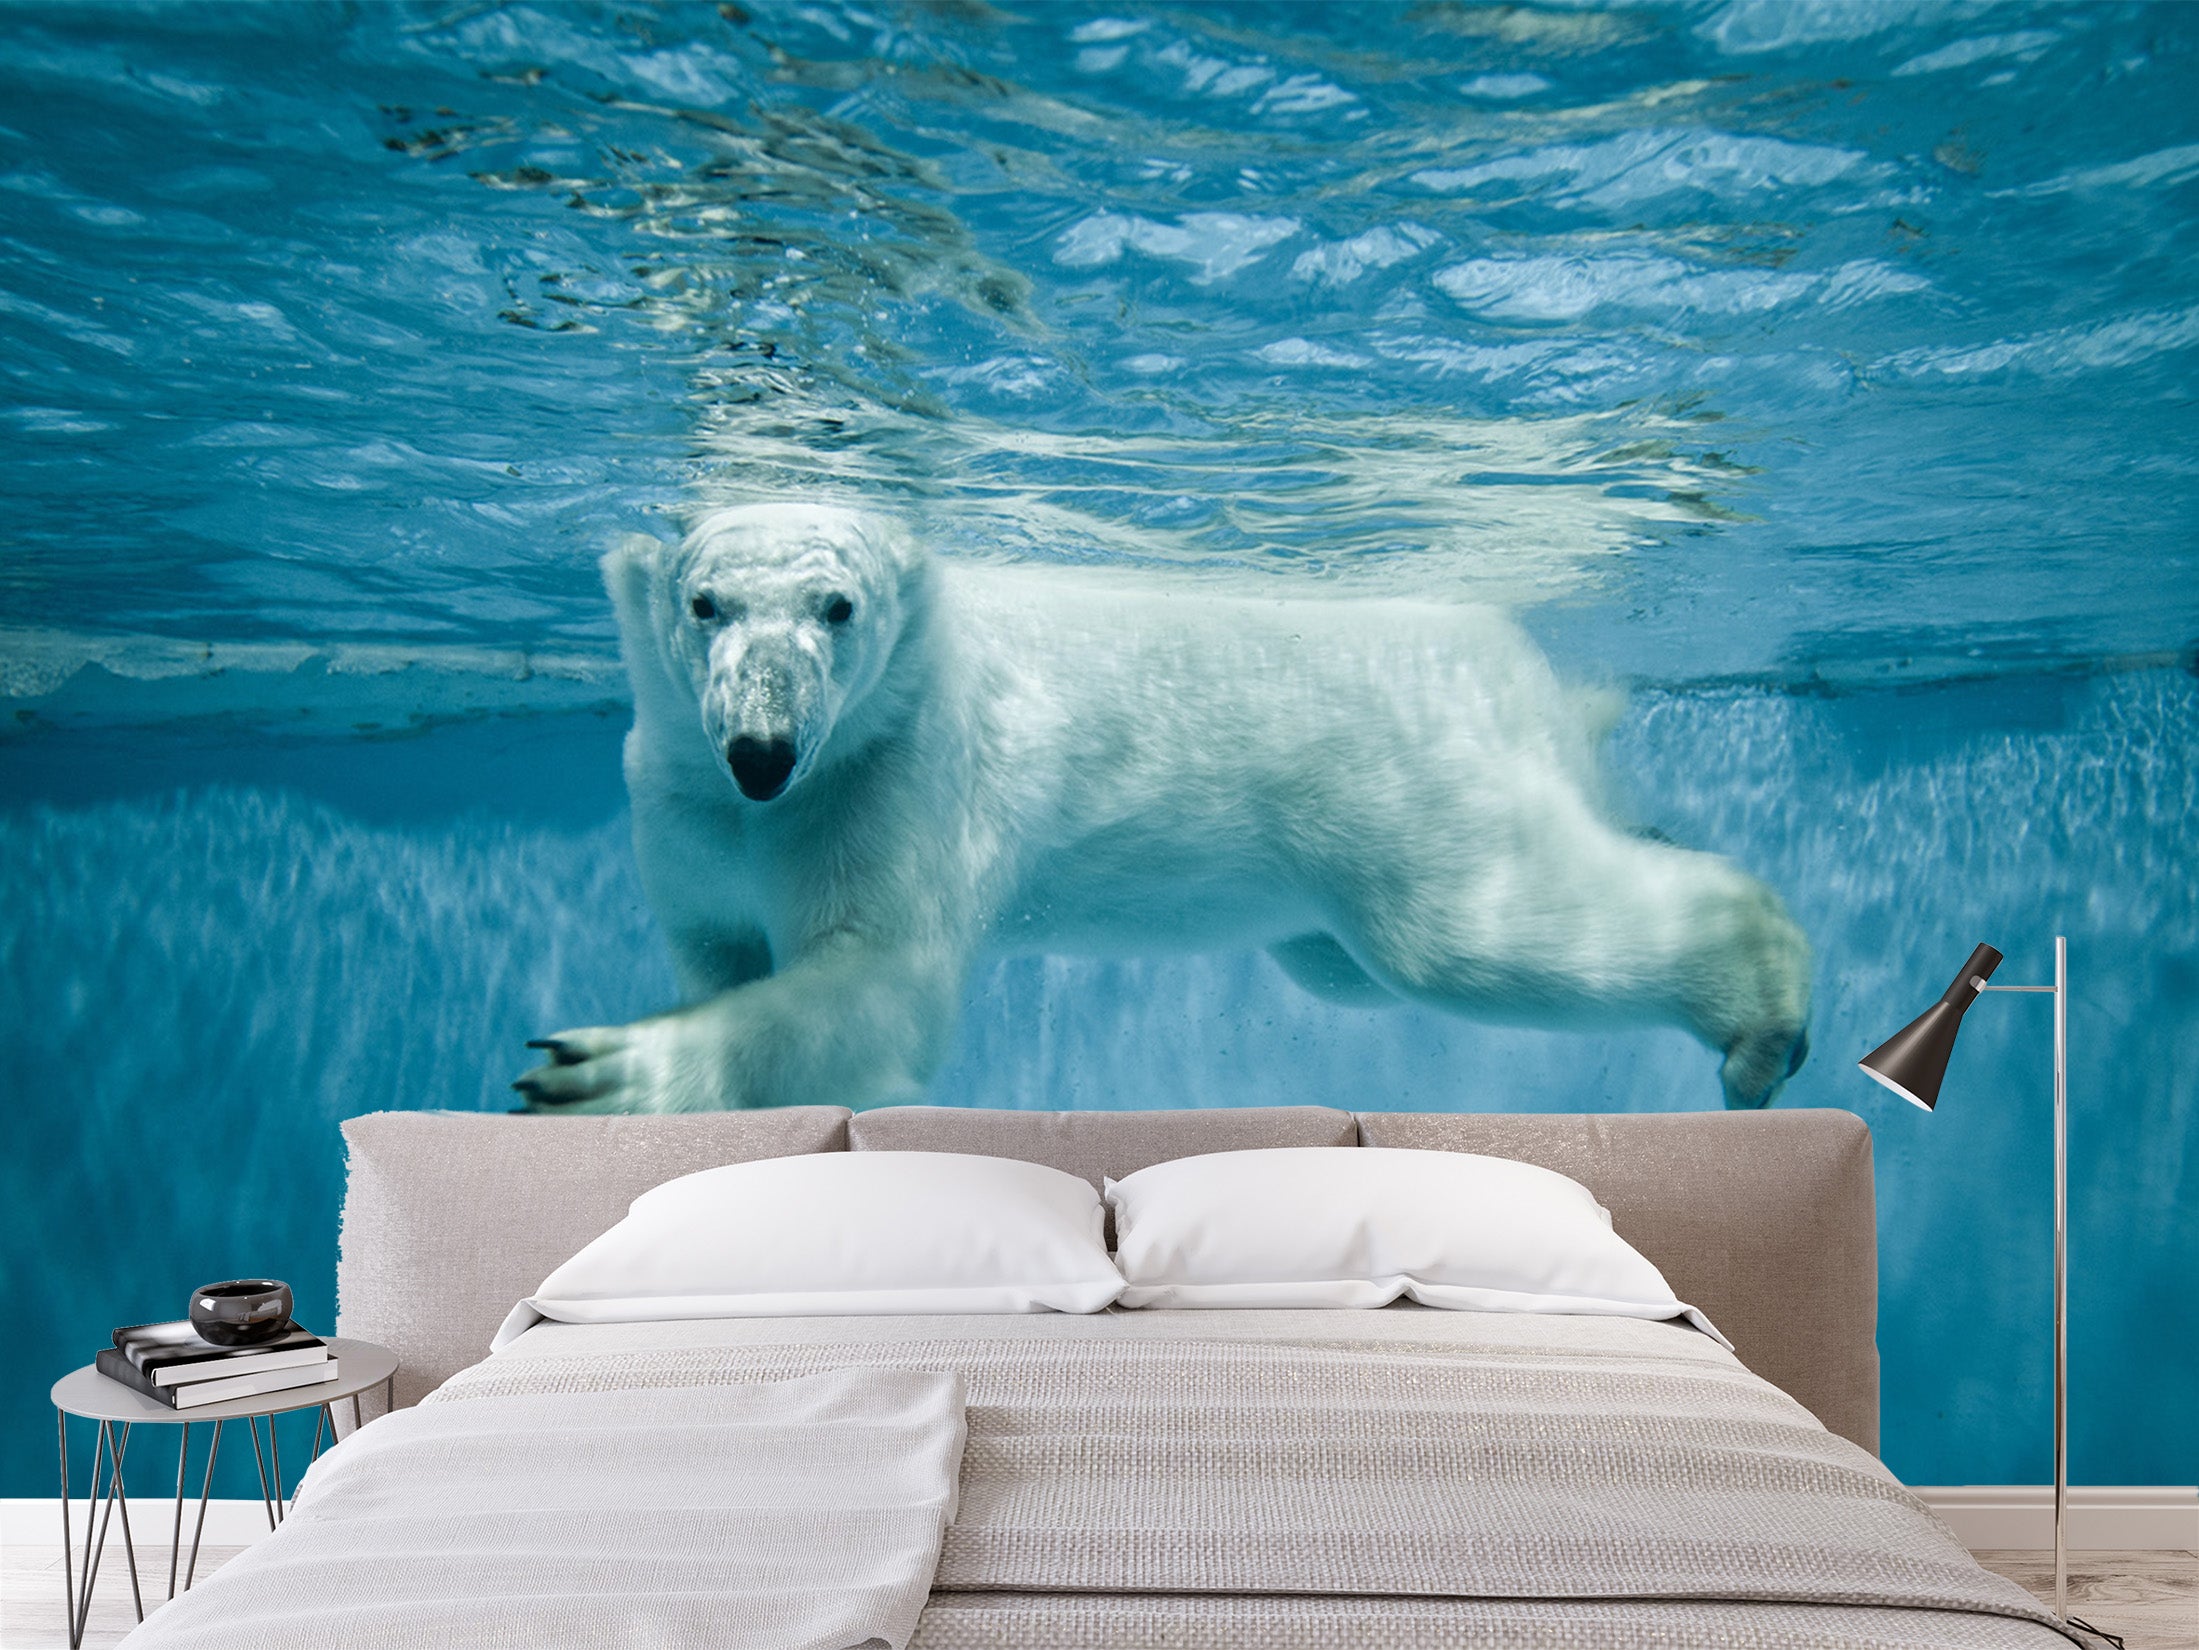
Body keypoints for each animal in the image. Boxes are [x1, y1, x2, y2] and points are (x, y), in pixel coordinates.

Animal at [514, 502, 1812, 1115]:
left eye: (837, 606)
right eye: (704, 603)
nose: (763, 751)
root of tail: (1515, 659)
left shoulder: (895, 774)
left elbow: (877, 981)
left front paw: (602, 1068)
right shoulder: (679, 806)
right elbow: (721, 942)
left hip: (1398, 777)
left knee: (1467, 939)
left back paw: (1762, 1008)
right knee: (1351, 963)